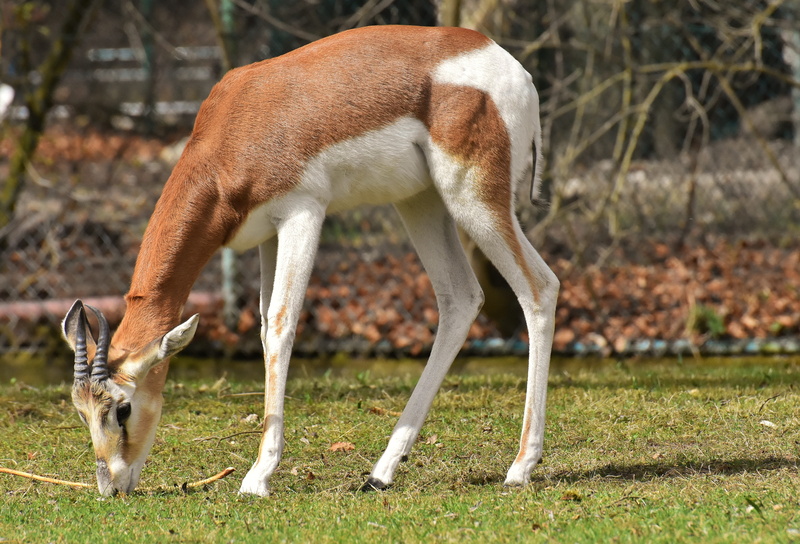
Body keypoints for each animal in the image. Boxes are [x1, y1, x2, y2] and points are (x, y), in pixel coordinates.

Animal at [62, 25, 558, 497]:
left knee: (540, 287)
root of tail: (514, 68)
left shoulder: (302, 213)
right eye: (81, 411)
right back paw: (381, 472)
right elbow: (264, 328)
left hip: (473, 198)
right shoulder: (265, 235)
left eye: (122, 408)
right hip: (421, 202)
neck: (235, 126)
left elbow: (283, 325)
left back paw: (520, 468)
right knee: (460, 298)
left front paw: (258, 477)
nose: (111, 485)